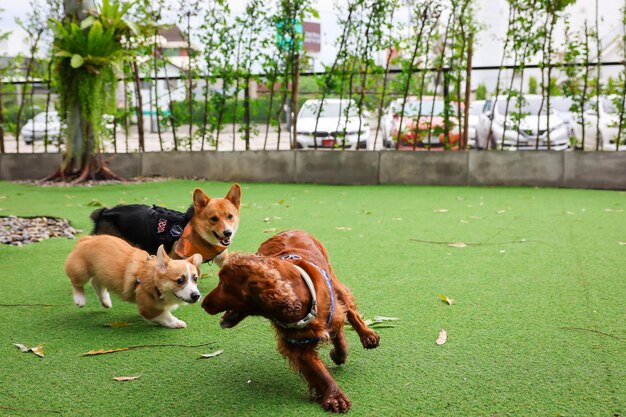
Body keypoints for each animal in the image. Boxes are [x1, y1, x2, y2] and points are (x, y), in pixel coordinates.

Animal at [63, 236, 201, 326]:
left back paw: (105, 301)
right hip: (80, 271)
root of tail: (86, 239)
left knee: (96, 282)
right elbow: (165, 315)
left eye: (195, 279)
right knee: (77, 283)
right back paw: (80, 299)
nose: (197, 296)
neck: (153, 280)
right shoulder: (148, 308)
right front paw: (177, 322)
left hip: (102, 274)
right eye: (180, 280)